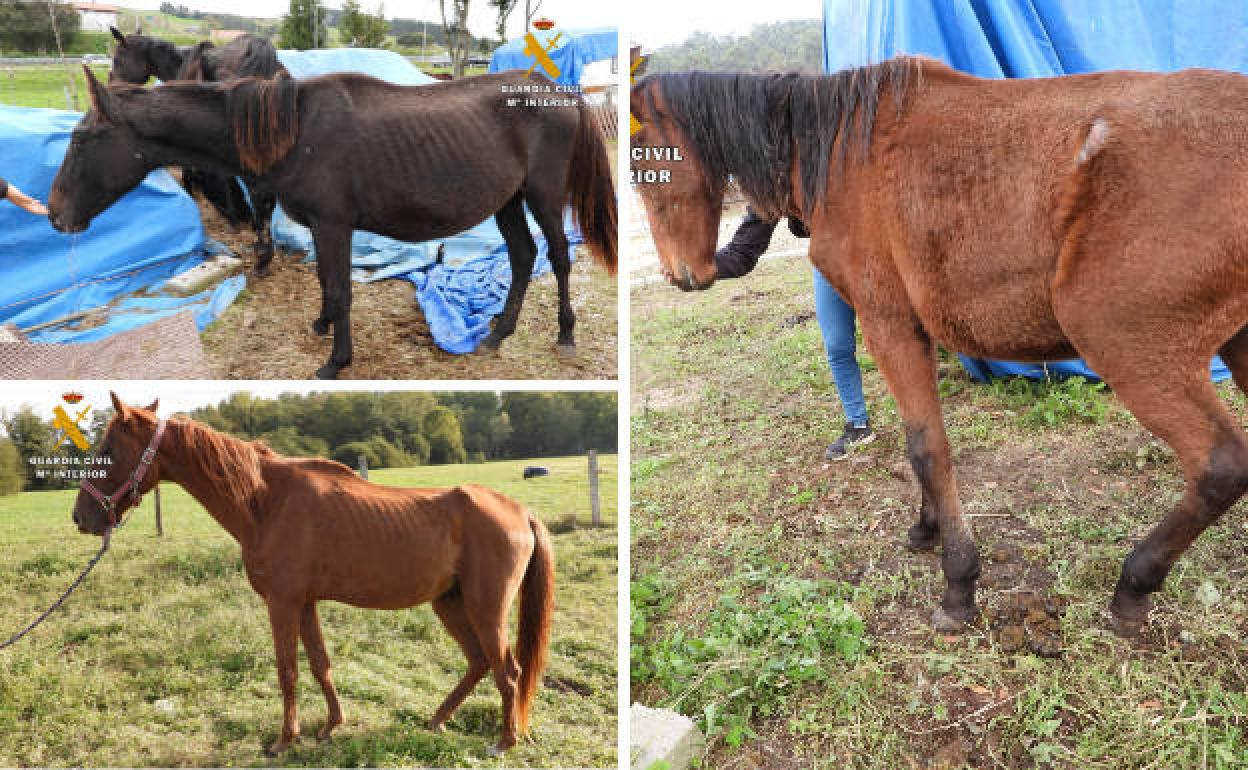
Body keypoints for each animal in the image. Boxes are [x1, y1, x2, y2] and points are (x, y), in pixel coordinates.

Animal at [70, 394, 554, 753]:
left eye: (108, 450)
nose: (81, 517)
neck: (265, 502)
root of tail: (520, 512)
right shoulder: (305, 603)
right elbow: (321, 664)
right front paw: (330, 726)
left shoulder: (282, 603)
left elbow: (288, 670)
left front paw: (286, 739)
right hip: (449, 603)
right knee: (478, 662)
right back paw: (437, 721)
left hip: (485, 609)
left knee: (507, 671)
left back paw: (504, 741)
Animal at [638, 57, 1248, 636]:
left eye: (646, 161)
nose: (683, 274)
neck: (841, 153)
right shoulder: (913, 330)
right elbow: (925, 441)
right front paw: (927, 526)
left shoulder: (887, 324)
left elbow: (927, 449)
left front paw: (959, 583)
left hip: (1127, 345)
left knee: (1222, 467)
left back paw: (1134, 584)